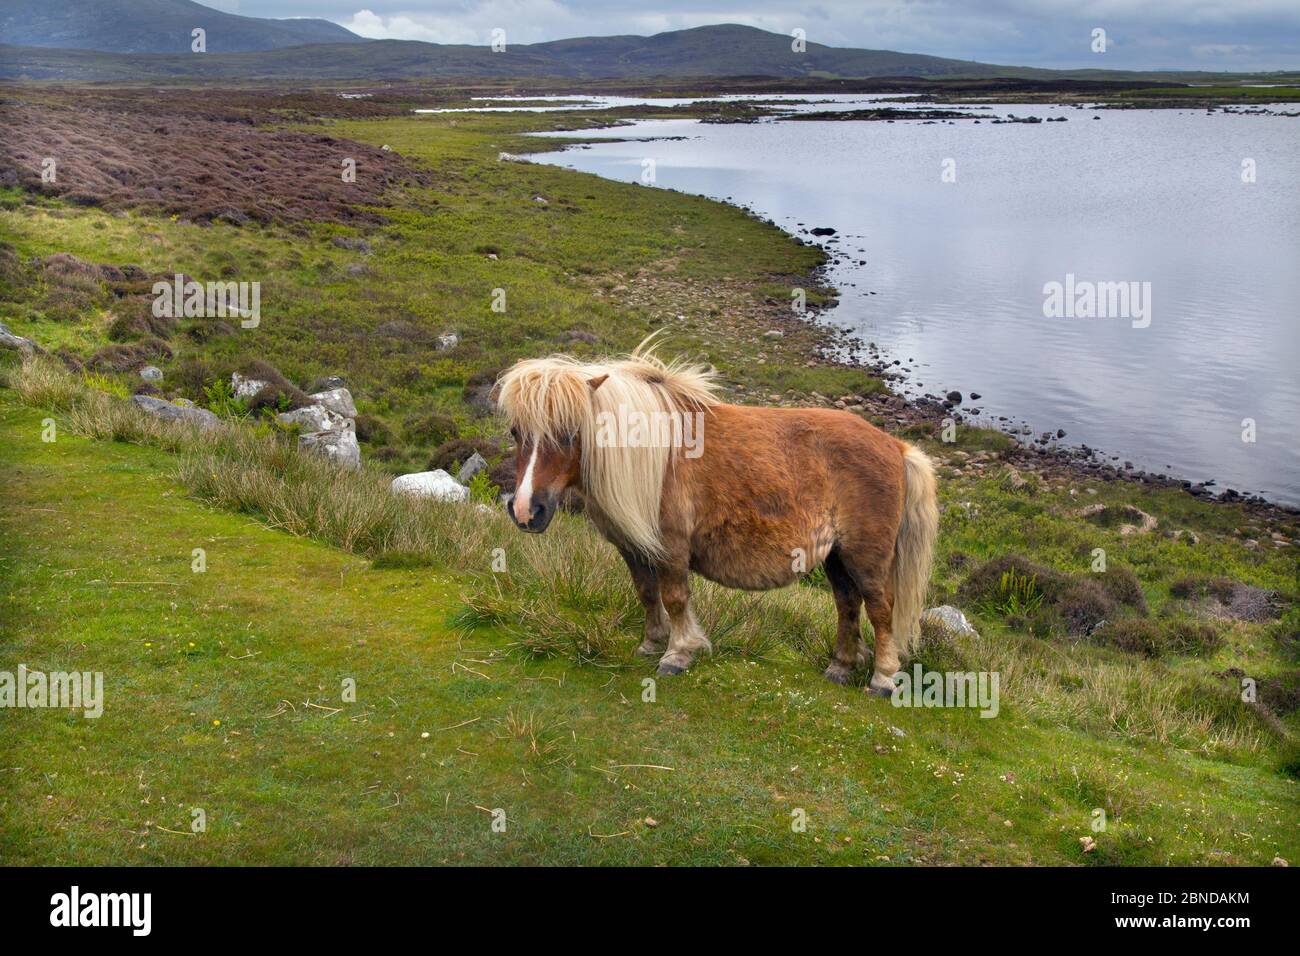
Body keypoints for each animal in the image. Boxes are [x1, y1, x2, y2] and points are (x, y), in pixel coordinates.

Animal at [493, 343, 935, 697]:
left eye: (570, 432)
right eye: (515, 432)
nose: (526, 511)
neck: (651, 459)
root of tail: (895, 446)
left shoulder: (671, 548)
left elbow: (674, 598)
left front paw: (677, 654)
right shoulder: (633, 547)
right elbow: (646, 593)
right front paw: (651, 643)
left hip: (866, 556)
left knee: (879, 608)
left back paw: (882, 678)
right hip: (837, 558)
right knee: (847, 605)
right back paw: (840, 668)